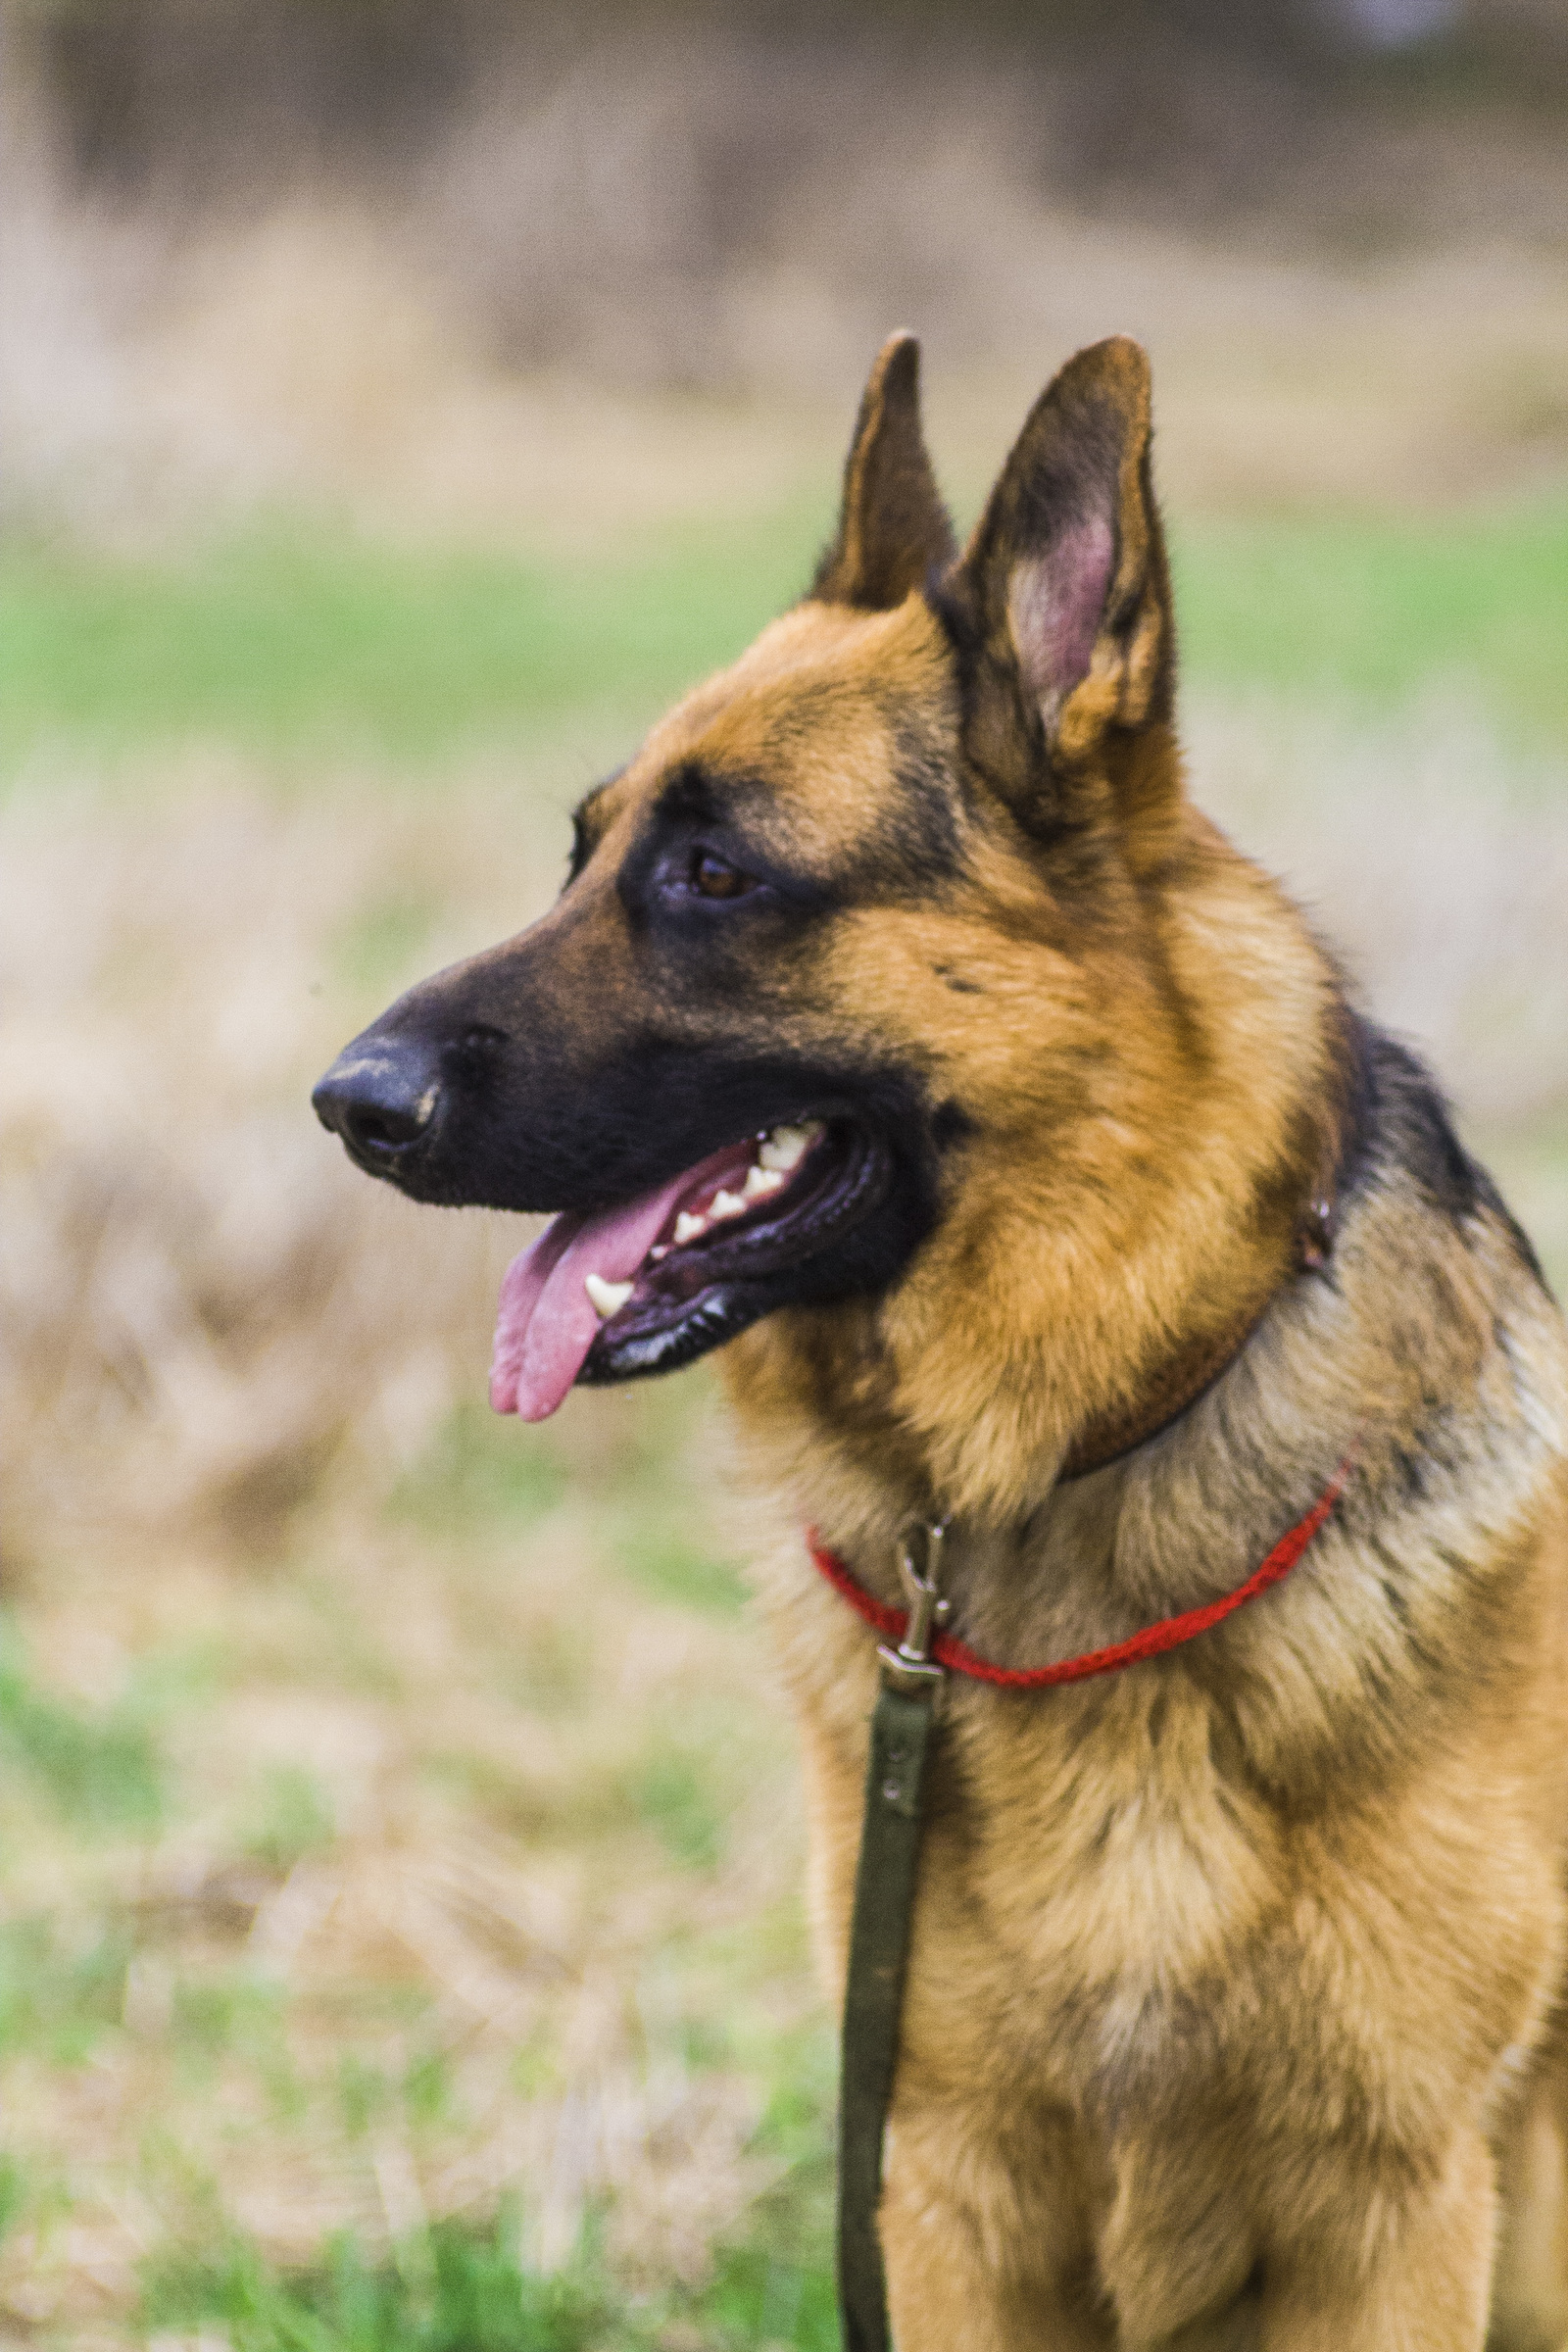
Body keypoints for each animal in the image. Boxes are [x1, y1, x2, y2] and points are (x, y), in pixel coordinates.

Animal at [315, 341, 1568, 2342]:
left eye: (717, 875)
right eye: (583, 855)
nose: (347, 1105)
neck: (1090, 1441)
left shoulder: (1394, 2215)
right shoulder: (942, 2188)